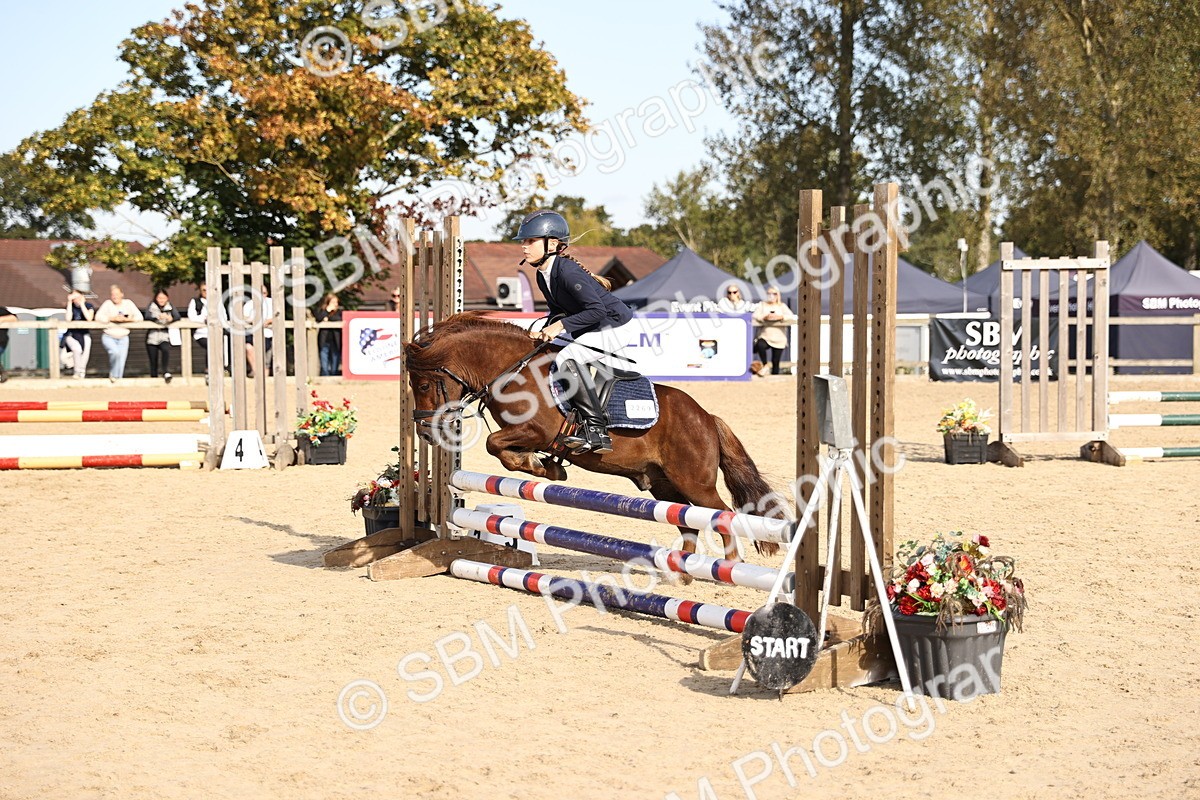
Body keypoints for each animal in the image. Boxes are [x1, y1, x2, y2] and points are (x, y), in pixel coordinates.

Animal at [404, 312, 783, 560]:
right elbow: (500, 448)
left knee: (722, 516)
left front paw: (542, 467)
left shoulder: (537, 430)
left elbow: (494, 444)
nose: (426, 433)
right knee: (686, 521)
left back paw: (730, 567)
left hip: (695, 482)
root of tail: (706, 418)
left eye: (423, 386)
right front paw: (548, 466)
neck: (512, 370)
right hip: (664, 485)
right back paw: (683, 570)